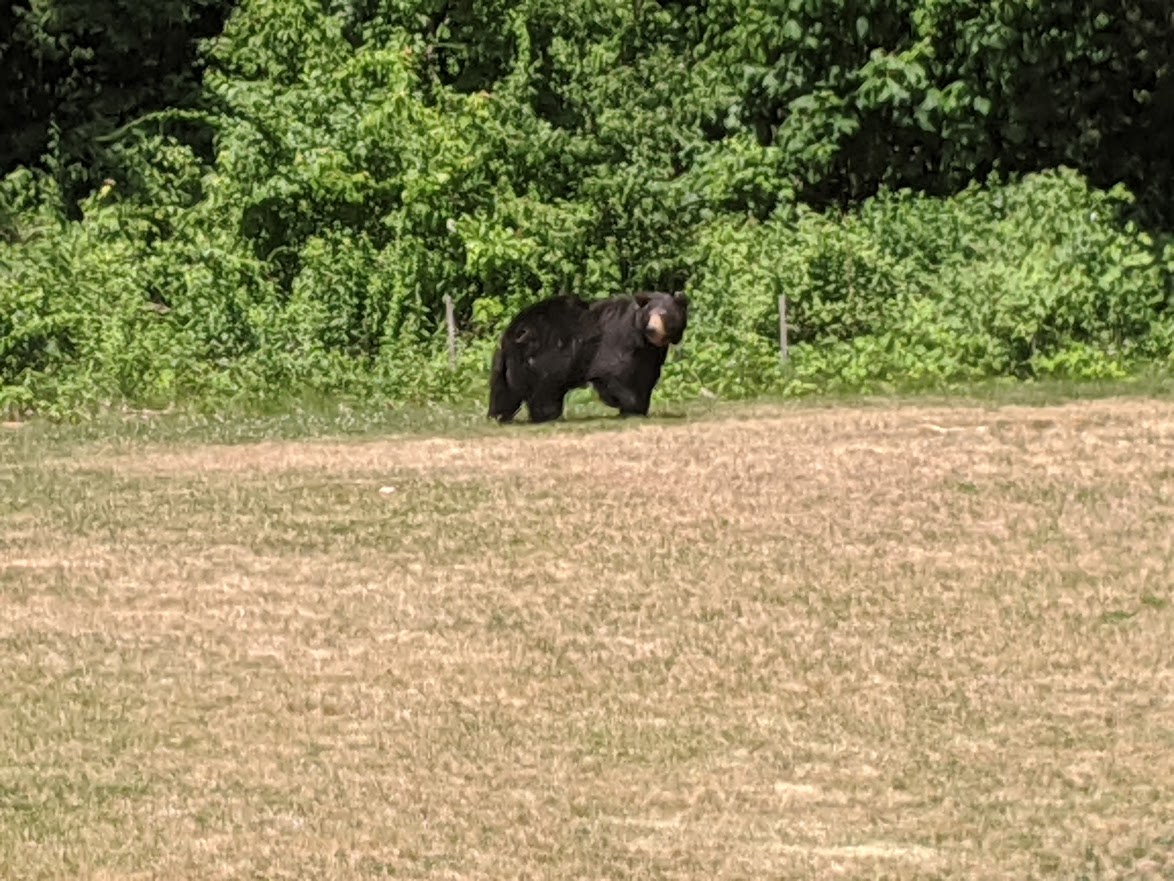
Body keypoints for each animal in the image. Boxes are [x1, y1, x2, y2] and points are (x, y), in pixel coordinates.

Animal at [487, 290, 689, 424]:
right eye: (650, 314)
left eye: (665, 314)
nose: (653, 329)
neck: (643, 338)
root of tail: (516, 330)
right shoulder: (620, 341)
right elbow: (617, 372)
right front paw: (632, 408)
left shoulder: (650, 354)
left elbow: (645, 376)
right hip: (548, 357)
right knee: (545, 389)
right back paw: (547, 415)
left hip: (508, 361)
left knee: (504, 389)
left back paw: (498, 415)